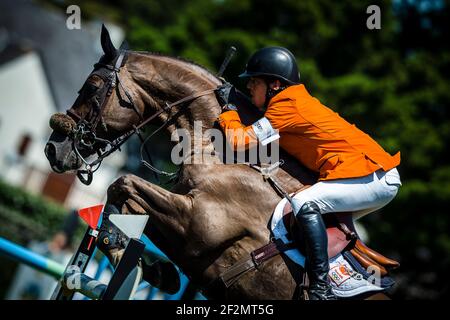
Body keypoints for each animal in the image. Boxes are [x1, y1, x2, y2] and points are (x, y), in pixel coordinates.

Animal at [45, 25, 396, 300]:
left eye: (92, 87)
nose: (53, 150)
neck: (223, 153)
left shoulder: (197, 223)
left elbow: (121, 185)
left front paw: (125, 253)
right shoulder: (188, 237)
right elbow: (128, 206)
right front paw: (159, 272)